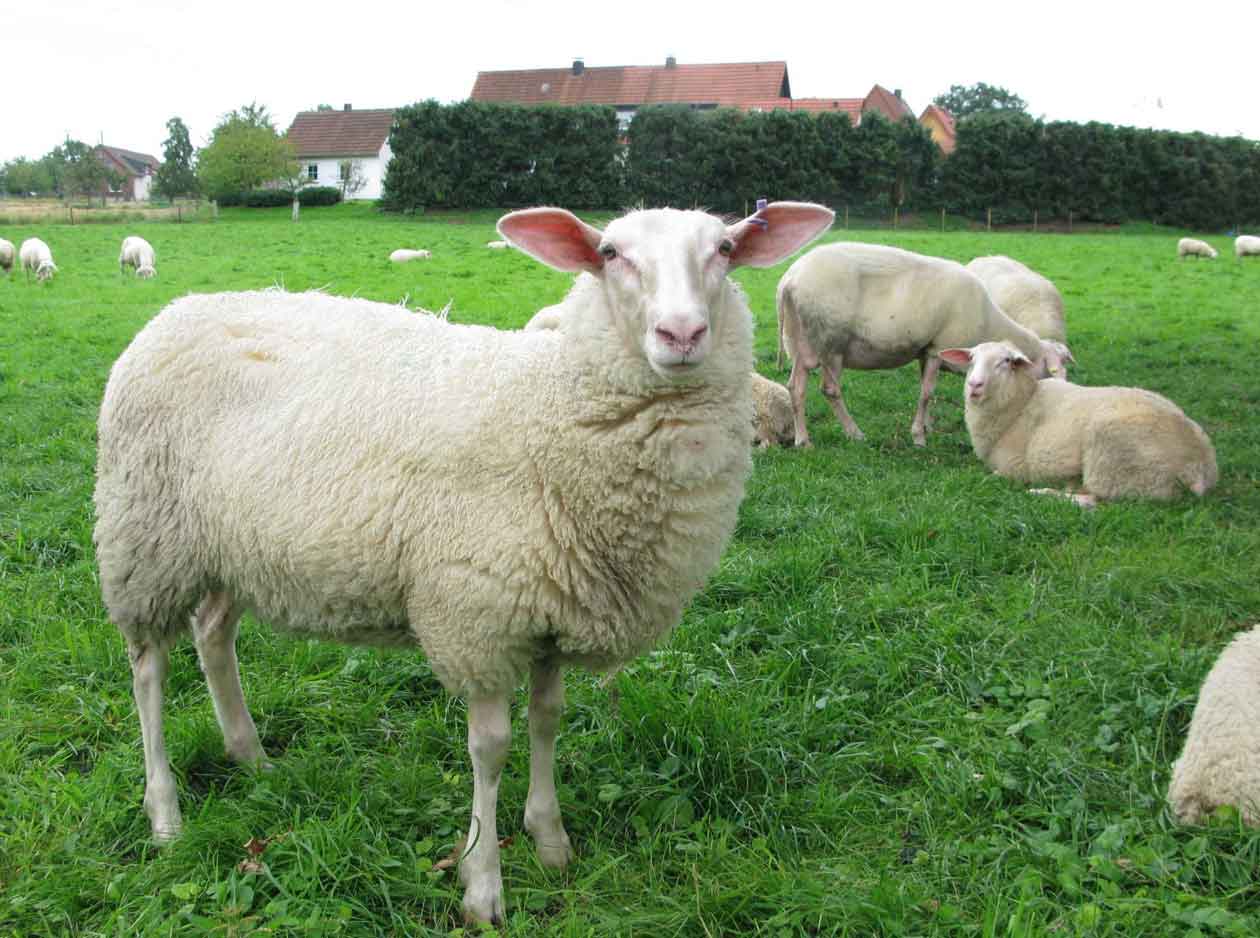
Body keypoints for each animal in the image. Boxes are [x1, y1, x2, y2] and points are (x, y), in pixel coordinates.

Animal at [93, 200, 835, 924]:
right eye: (610, 253)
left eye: (725, 250)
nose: (681, 333)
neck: (550, 408)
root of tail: (174, 310)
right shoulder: (476, 614)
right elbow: (491, 748)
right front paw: (483, 885)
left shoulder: (552, 611)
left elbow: (548, 720)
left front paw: (551, 840)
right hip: (144, 538)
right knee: (149, 669)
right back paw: (165, 812)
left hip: (229, 546)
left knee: (213, 634)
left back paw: (251, 756)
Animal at [777, 242, 1074, 448]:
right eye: (1051, 371)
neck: (989, 321)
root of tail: (789, 279)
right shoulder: (937, 348)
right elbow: (927, 393)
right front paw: (919, 437)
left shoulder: (924, 350)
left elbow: (925, 390)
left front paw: (927, 426)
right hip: (831, 343)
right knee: (829, 389)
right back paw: (854, 433)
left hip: (800, 340)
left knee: (795, 387)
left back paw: (803, 441)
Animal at [938, 341, 1217, 507]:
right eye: (971, 358)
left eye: (1006, 361)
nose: (974, 385)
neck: (1021, 403)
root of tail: (1200, 466)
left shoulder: (1015, 467)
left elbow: (993, 475)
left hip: (1116, 464)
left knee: (1095, 500)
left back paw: (1043, 492)